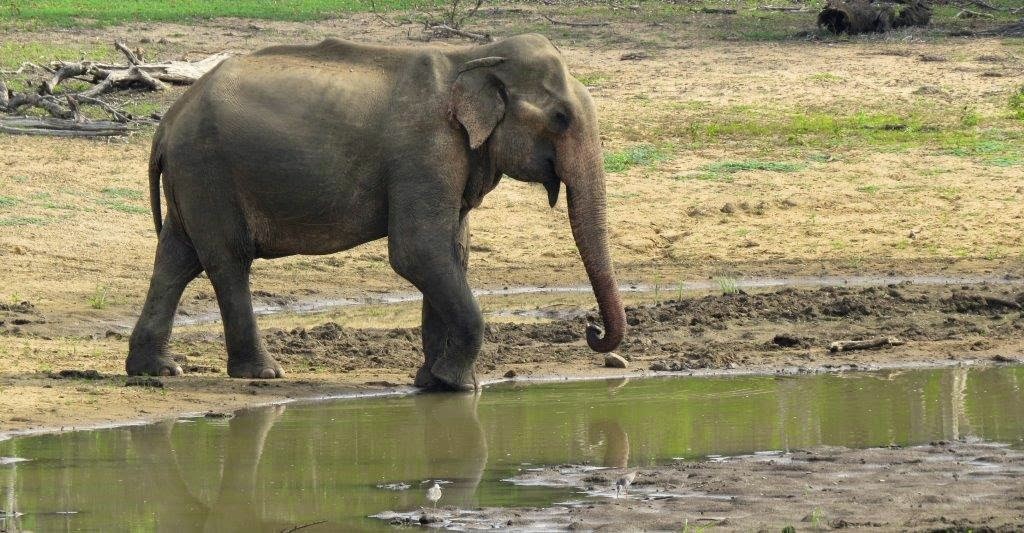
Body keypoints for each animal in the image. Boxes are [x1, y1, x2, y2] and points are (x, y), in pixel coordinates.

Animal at [128, 34, 622, 390]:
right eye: (560, 118)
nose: (592, 330)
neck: (473, 56)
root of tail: (167, 121)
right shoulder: (424, 151)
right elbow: (418, 253)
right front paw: (458, 385)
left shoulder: (450, 159)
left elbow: (450, 255)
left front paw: (435, 383)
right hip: (209, 172)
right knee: (227, 261)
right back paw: (263, 374)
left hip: (194, 180)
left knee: (176, 259)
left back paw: (156, 370)